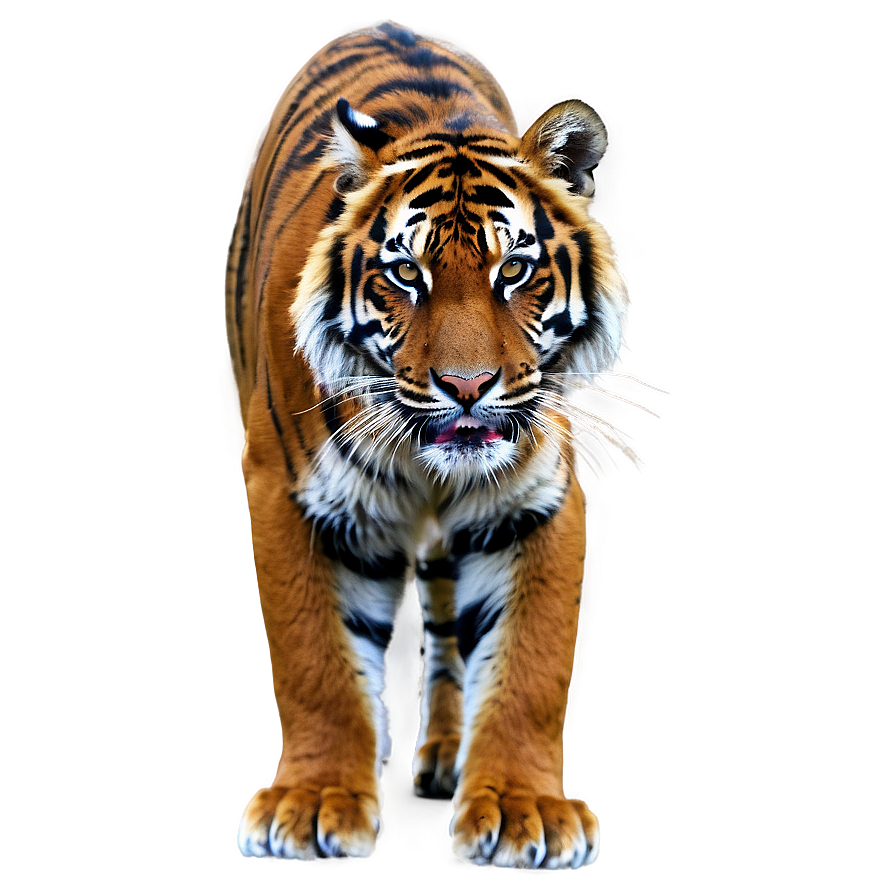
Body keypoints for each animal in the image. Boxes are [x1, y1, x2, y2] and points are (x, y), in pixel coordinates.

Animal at [225, 20, 628, 869]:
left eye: (517, 269)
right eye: (405, 274)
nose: (467, 386)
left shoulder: (533, 504)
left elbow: (531, 664)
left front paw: (520, 808)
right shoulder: (288, 492)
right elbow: (314, 659)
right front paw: (317, 800)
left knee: (445, 626)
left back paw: (446, 755)